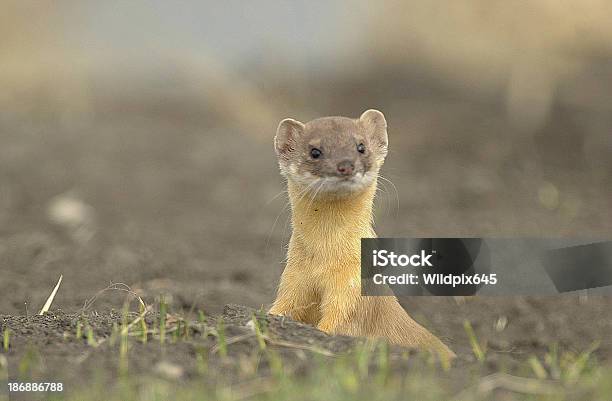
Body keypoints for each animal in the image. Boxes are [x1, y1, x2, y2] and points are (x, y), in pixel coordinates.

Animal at [268, 108, 454, 358]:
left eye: (361, 146)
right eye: (315, 151)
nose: (345, 165)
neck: (324, 260)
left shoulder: (353, 287)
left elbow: (338, 320)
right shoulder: (293, 279)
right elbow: (283, 307)